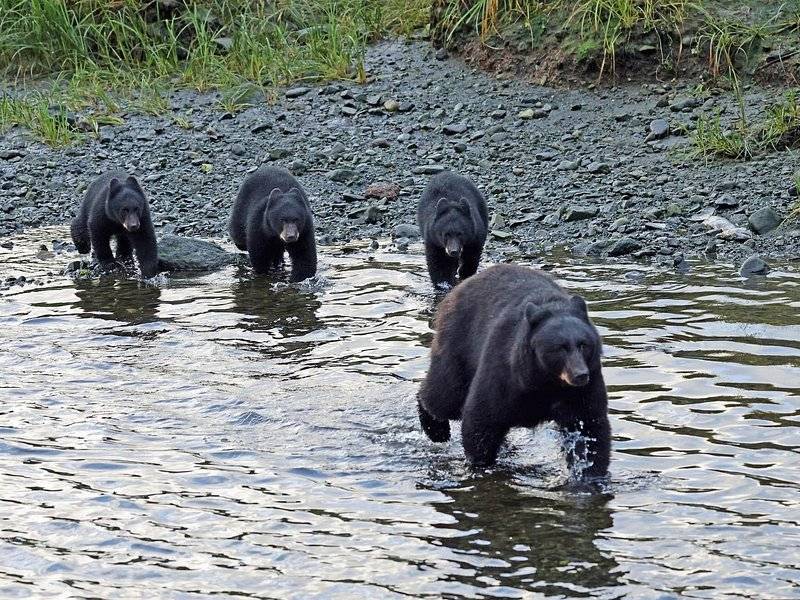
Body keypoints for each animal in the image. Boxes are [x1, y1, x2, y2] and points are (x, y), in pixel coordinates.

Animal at [417, 263, 611, 478]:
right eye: (560, 347)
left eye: (584, 344)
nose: (580, 375)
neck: (546, 381)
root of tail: (458, 288)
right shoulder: (505, 371)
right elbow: (482, 416)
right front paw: (480, 464)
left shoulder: (585, 387)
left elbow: (590, 428)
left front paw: (589, 473)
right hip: (458, 345)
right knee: (445, 396)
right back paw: (436, 430)